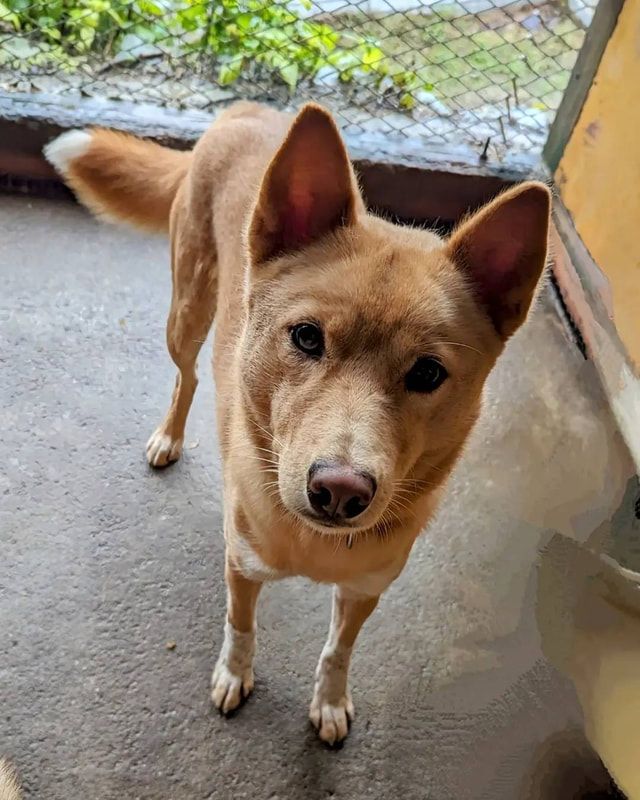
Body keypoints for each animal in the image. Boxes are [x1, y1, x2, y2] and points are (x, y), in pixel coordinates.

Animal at [46, 103, 552, 748]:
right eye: (307, 337)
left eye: (428, 372)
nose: (339, 491)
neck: (316, 546)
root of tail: (247, 112)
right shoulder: (240, 564)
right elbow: (240, 626)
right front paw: (234, 674)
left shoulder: (365, 591)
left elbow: (338, 651)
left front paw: (329, 702)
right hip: (186, 313)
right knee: (187, 377)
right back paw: (169, 436)